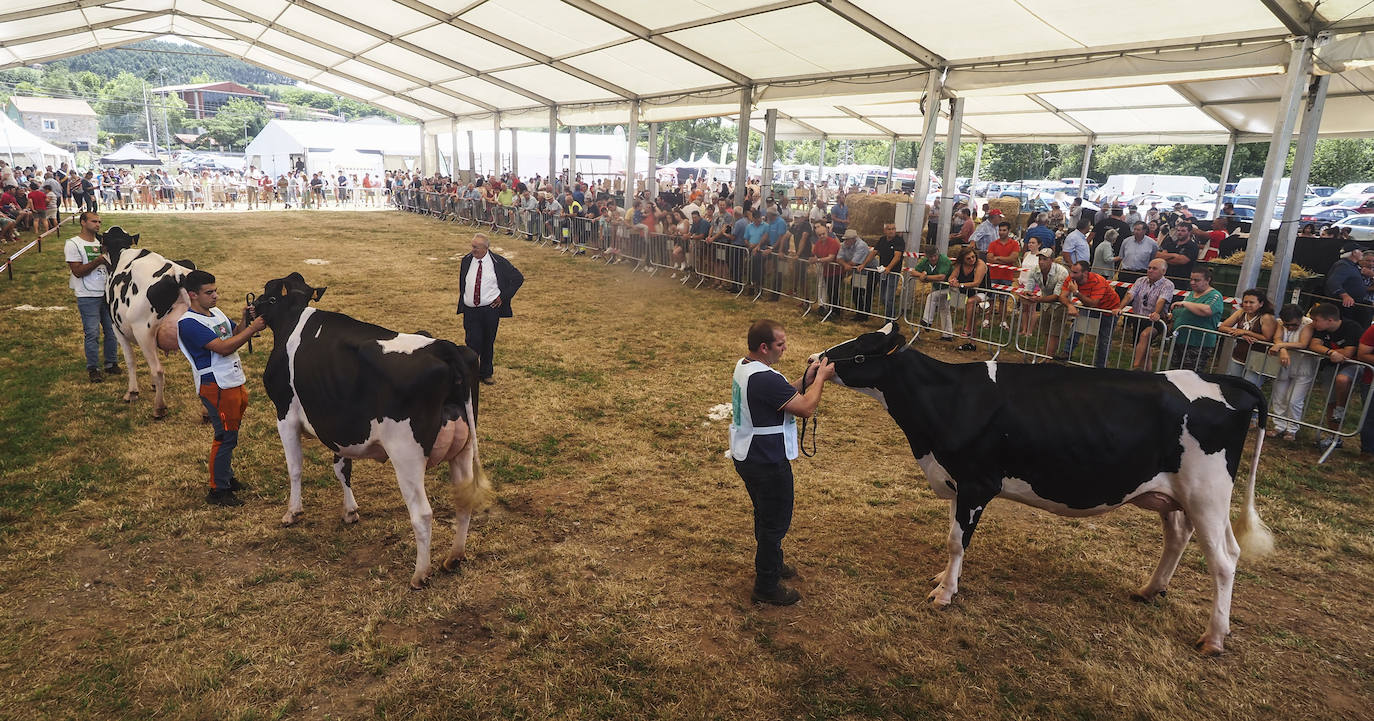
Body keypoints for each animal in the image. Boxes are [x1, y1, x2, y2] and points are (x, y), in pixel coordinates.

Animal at [100, 226, 197, 422]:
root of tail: (176, 274)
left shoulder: (117, 328)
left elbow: (130, 360)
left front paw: (132, 392)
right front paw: (153, 386)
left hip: (142, 331)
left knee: (158, 369)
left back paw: (159, 409)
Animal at [250, 273, 491, 587]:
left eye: (267, 294)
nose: (251, 308)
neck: (291, 318)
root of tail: (444, 346)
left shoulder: (285, 413)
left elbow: (295, 468)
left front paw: (293, 512)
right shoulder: (339, 425)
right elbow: (342, 467)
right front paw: (350, 511)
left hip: (406, 454)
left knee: (422, 513)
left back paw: (420, 574)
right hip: (463, 448)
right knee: (463, 502)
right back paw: (454, 558)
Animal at [807, 322, 1269, 653]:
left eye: (859, 350)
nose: (813, 361)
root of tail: (1221, 380)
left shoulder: (976, 483)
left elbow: (957, 541)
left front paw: (944, 593)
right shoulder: (955, 481)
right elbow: (953, 539)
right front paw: (943, 577)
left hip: (1207, 493)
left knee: (1225, 559)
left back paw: (1214, 638)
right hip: (1175, 495)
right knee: (1178, 537)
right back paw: (1149, 590)